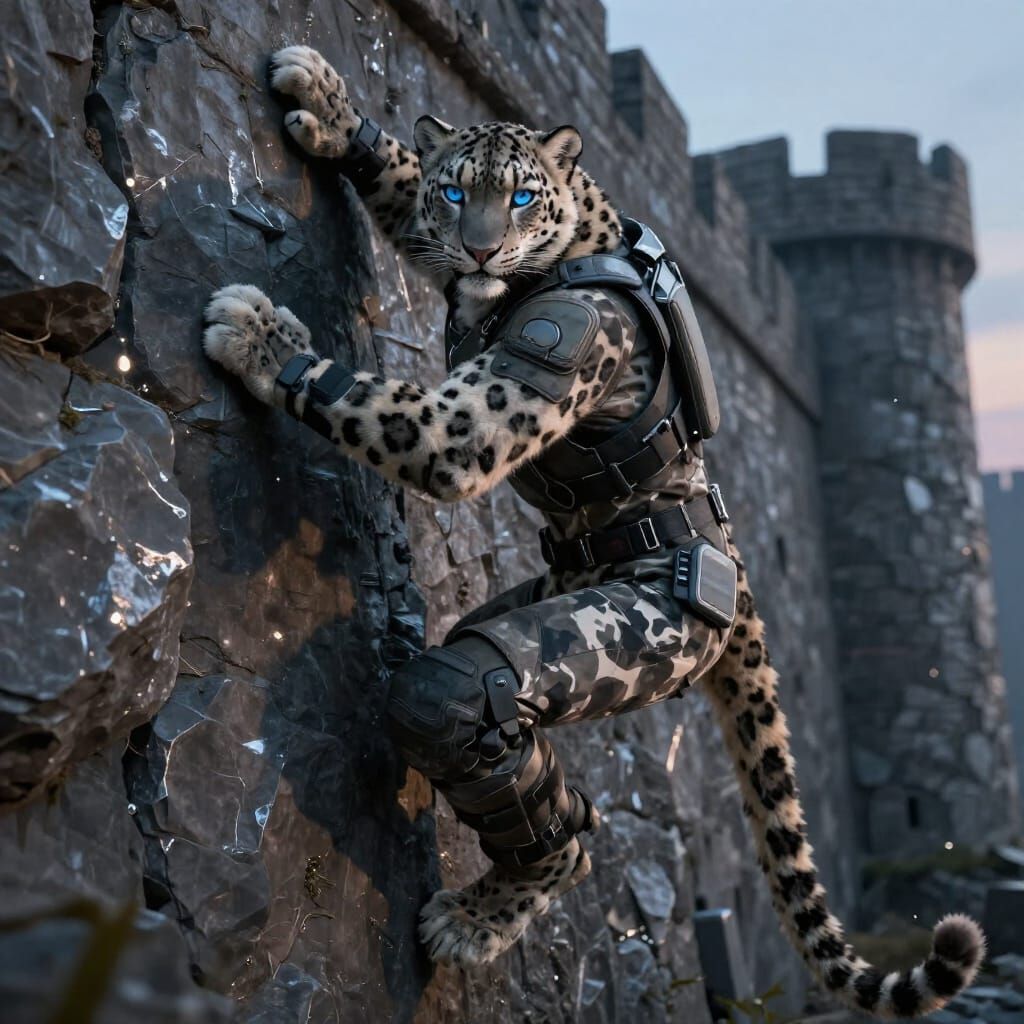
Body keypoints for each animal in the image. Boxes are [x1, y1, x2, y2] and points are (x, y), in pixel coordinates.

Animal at [202, 44, 984, 1017]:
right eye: (456, 192)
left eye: (520, 197)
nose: (481, 245)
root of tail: (735, 576)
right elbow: (402, 182)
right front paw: (331, 105)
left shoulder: (516, 381)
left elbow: (400, 413)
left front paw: (262, 336)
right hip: (544, 599)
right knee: (543, 776)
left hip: (640, 637)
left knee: (465, 691)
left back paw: (480, 915)